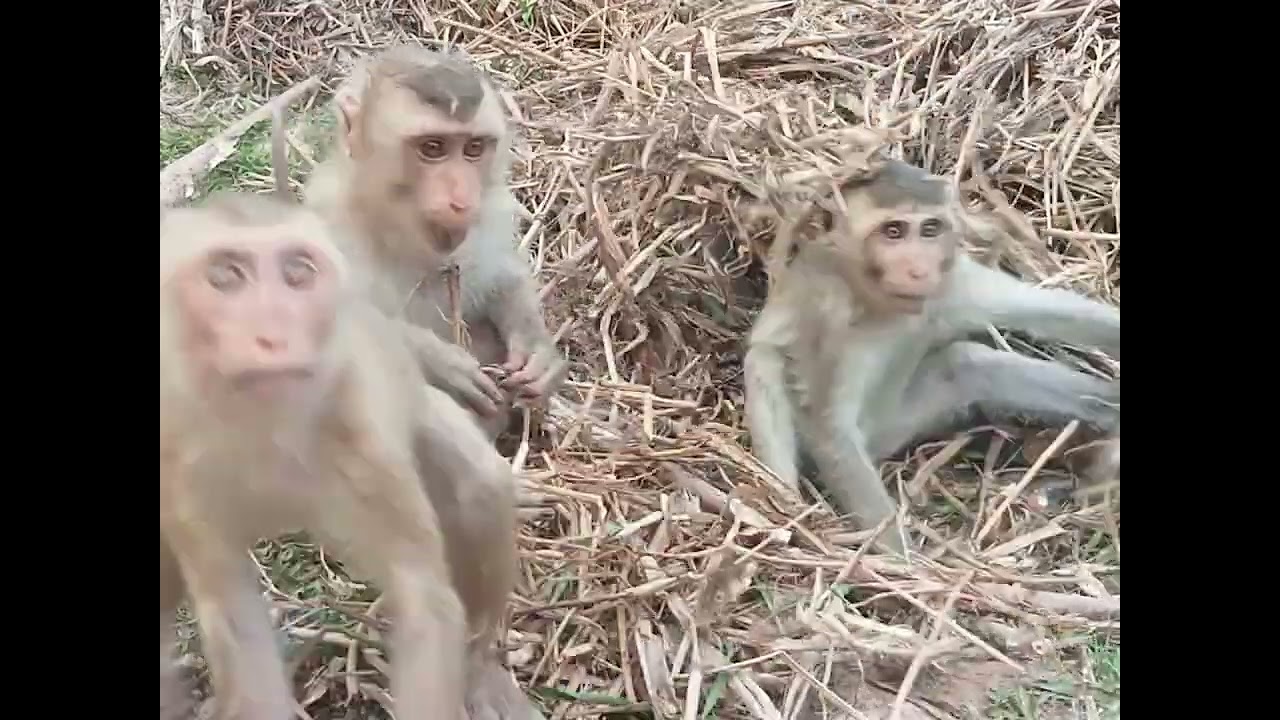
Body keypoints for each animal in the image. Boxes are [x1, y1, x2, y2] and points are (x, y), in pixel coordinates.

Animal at [159, 191, 485, 720]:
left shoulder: (366, 444)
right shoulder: (178, 464)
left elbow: (423, 600)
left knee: (479, 488)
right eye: (225, 275)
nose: (273, 335)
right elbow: (232, 612)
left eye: (299, 272)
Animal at [301, 44, 567, 438]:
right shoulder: (325, 221)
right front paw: (441, 362)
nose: (461, 199)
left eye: (473, 148)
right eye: (433, 147)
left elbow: (503, 277)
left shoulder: (491, 214)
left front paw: (536, 345)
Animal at [744, 159, 1120, 553]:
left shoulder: (951, 279)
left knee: (968, 363)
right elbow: (830, 428)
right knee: (764, 362)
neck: (874, 297)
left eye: (930, 229)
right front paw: (901, 558)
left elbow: (1055, 313)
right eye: (893, 231)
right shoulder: (826, 314)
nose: (918, 269)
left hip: (897, 422)